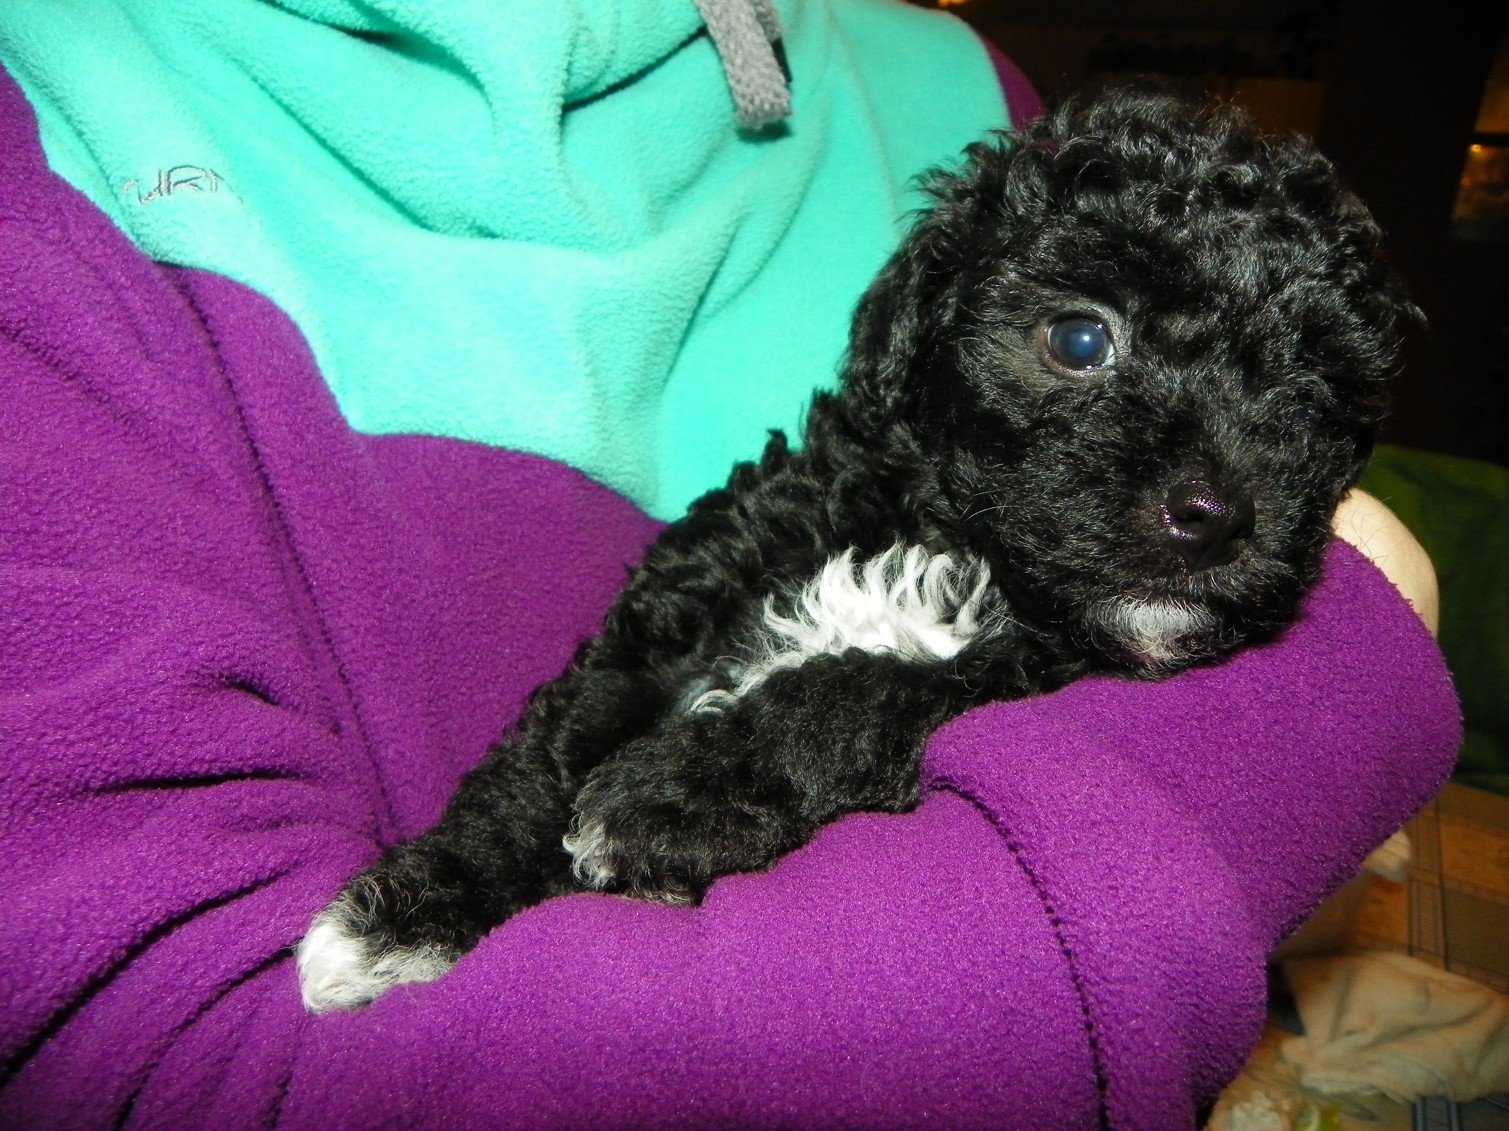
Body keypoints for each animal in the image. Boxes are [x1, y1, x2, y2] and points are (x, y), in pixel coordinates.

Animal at [298, 87, 1414, 1012]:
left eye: (1313, 393)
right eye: (1081, 340)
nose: (1218, 515)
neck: (955, 540)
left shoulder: (1020, 674)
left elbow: (865, 693)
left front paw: (672, 793)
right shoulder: (690, 594)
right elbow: (551, 745)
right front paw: (411, 912)